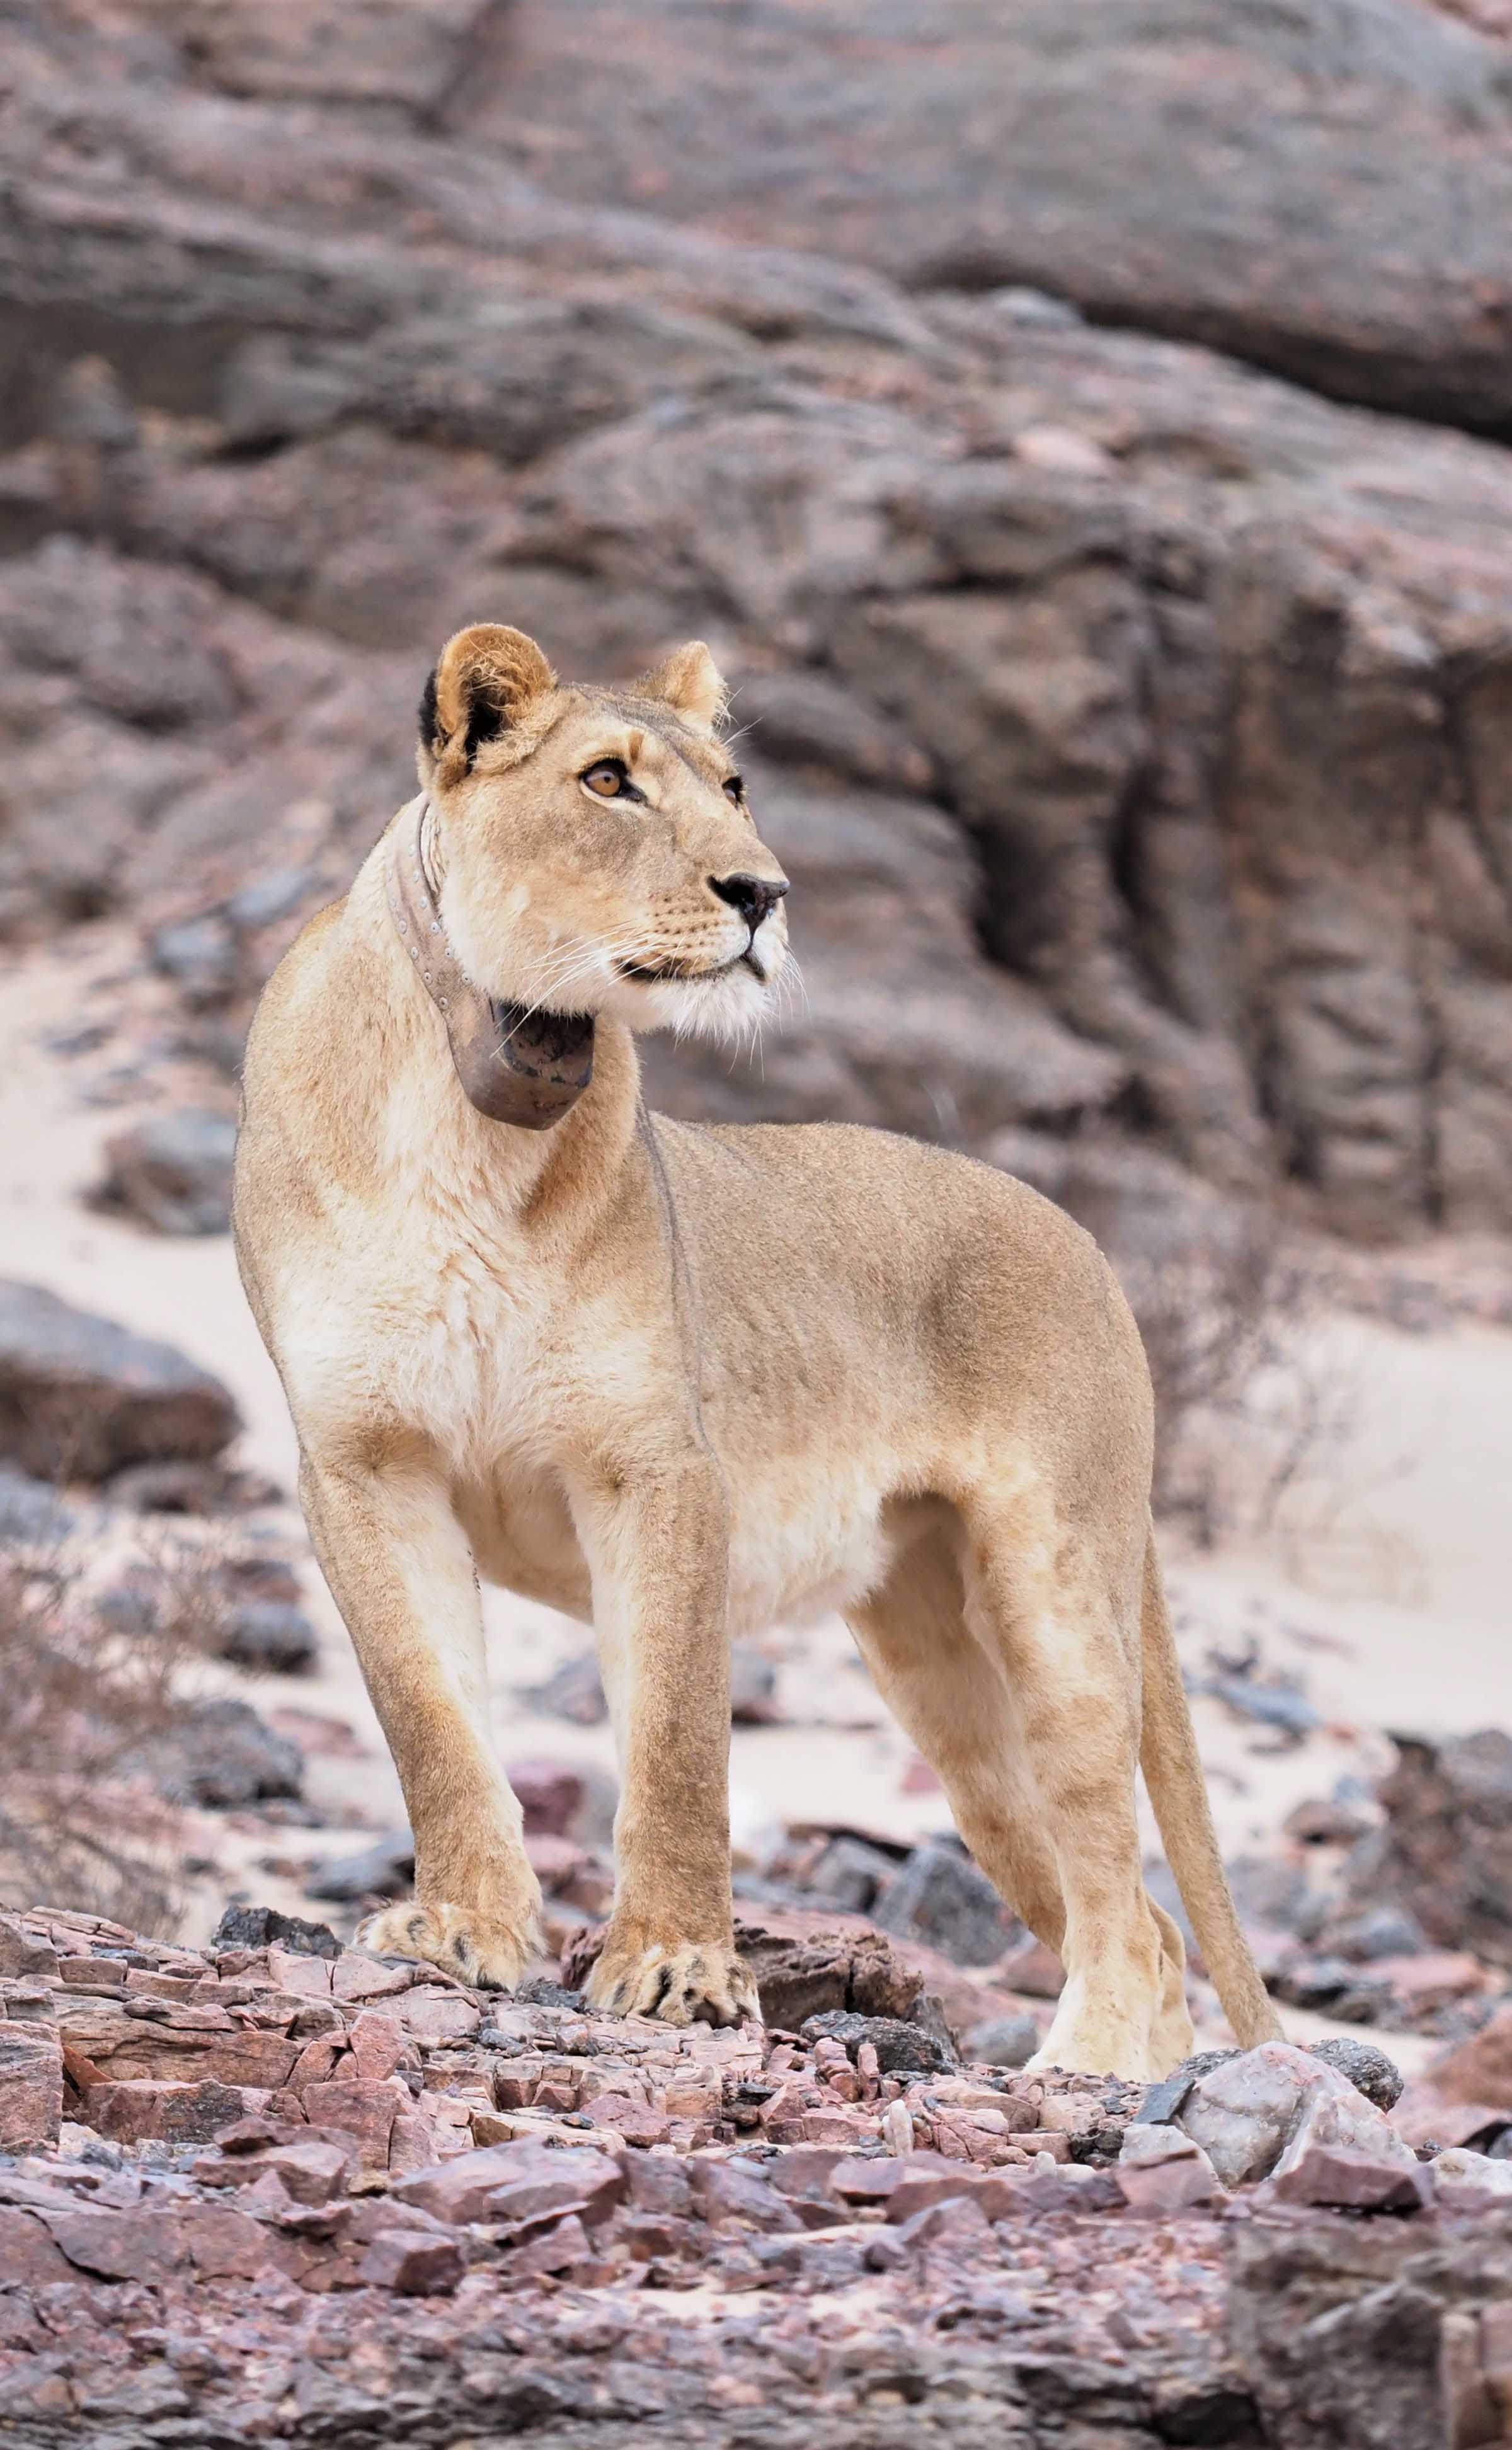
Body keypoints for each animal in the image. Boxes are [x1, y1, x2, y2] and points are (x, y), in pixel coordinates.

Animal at [232, 621, 1281, 2079]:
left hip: (1060, 1590)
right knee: (1132, 1912)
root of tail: (1080, 1235)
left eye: (734, 788)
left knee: (1125, 1898)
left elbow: (676, 1740)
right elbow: (429, 1718)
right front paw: (459, 1931)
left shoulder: (657, 1467)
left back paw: (1079, 2072)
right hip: (943, 1672)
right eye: (608, 781)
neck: (480, 1106)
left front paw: (677, 1969)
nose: (764, 893)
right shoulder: (363, 1463)